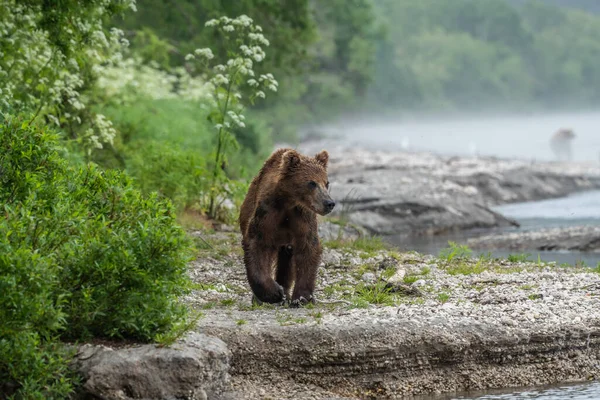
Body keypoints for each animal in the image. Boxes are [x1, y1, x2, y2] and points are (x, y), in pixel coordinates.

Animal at [239, 148, 336, 306]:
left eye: (326, 183)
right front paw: (273, 293)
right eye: (312, 183)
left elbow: (308, 248)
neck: (288, 201)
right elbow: (257, 245)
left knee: (286, 262)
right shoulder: (267, 214)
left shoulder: (303, 218)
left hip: (287, 244)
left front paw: (302, 297)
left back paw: (285, 291)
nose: (329, 203)